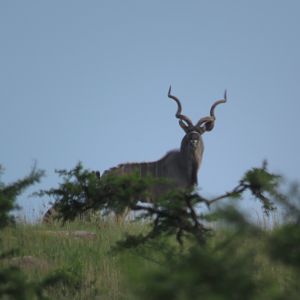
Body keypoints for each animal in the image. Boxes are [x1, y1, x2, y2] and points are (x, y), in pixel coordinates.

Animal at [42, 86, 227, 223]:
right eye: (188, 131)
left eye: (200, 132)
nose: (194, 140)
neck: (185, 166)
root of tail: (107, 174)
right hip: (124, 202)